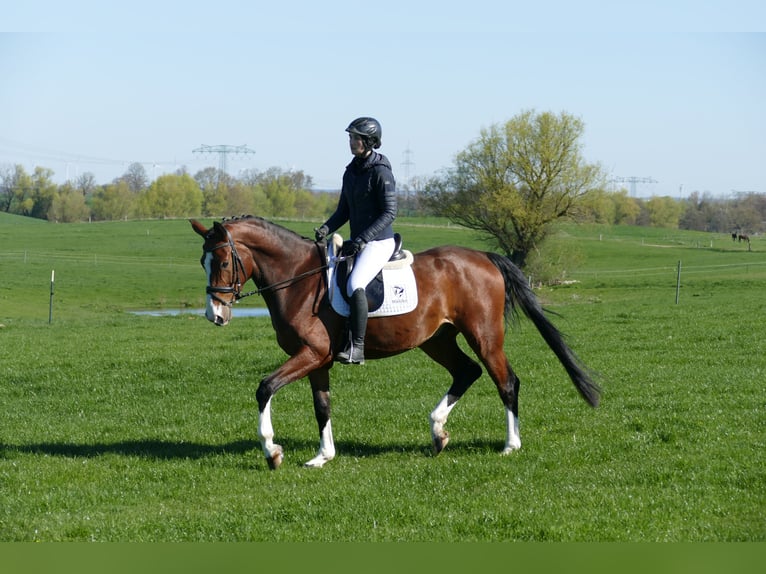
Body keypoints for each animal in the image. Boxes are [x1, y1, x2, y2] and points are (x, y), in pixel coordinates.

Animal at [190, 216, 600, 470]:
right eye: (202, 262)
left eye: (223, 262)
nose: (215, 314)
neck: (298, 279)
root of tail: (483, 257)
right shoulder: (318, 360)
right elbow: (322, 406)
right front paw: (323, 456)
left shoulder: (312, 353)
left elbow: (265, 388)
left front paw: (272, 451)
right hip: (437, 340)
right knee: (467, 372)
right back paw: (438, 432)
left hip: (483, 336)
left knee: (506, 381)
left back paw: (510, 445)